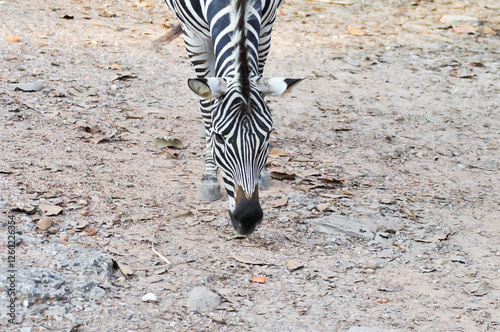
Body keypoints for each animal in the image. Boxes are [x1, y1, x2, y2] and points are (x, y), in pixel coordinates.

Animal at [166, 0, 302, 235]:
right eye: (220, 137)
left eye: (268, 136)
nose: (248, 218)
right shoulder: (193, 37)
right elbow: (207, 107)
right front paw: (210, 175)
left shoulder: (266, 27)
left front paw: (263, 172)